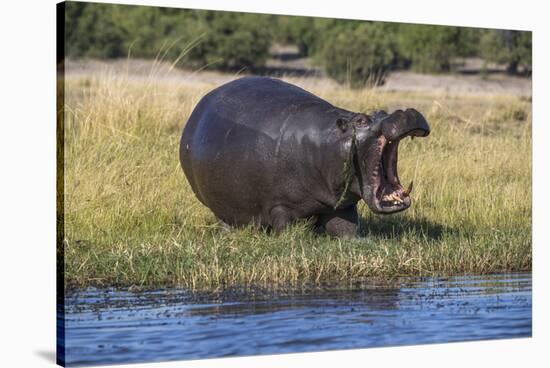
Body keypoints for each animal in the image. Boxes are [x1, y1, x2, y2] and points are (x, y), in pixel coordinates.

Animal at [181, 76, 432, 237]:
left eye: (380, 112)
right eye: (361, 120)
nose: (404, 111)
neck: (330, 141)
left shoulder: (341, 207)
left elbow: (347, 230)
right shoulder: (280, 206)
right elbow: (287, 230)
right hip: (221, 207)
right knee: (226, 220)